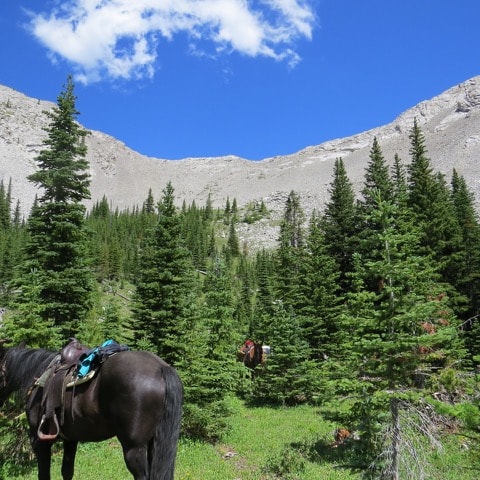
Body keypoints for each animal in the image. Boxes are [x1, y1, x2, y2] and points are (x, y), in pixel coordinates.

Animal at [0, 342, 183, 480]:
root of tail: (161, 368)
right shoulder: (70, 440)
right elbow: (67, 472)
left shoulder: (40, 441)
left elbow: (44, 475)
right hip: (154, 443)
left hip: (134, 447)